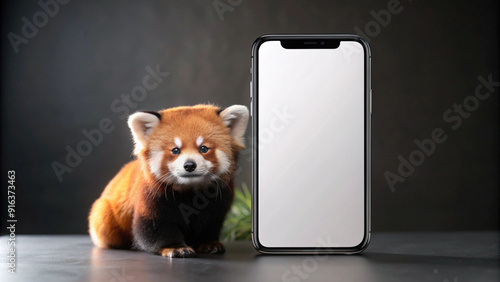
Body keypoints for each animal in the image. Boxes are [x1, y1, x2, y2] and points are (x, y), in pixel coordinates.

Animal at [89, 104, 249, 258]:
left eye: (203, 148)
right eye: (175, 150)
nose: (189, 165)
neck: (190, 191)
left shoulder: (219, 200)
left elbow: (210, 223)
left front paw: (209, 243)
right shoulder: (151, 196)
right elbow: (153, 228)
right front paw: (175, 247)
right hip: (104, 215)